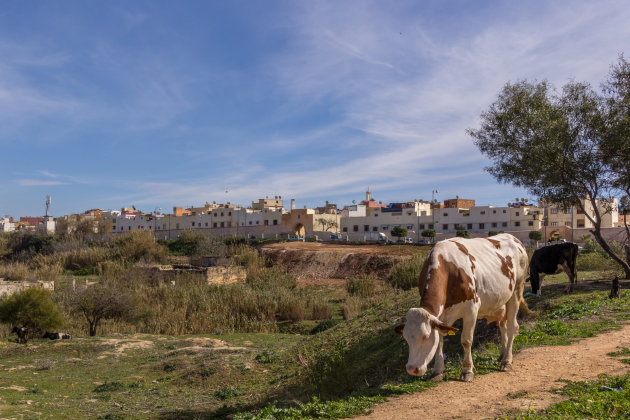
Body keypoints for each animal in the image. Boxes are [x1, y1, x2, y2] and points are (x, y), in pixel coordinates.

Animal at [398, 235, 532, 382]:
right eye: (405, 337)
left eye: (426, 336)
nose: (411, 369)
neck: (447, 269)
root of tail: (513, 238)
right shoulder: (441, 317)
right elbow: (439, 340)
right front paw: (437, 371)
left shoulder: (471, 309)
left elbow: (466, 340)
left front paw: (467, 370)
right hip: (500, 301)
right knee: (503, 325)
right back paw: (503, 355)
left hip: (516, 290)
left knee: (513, 326)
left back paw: (507, 361)